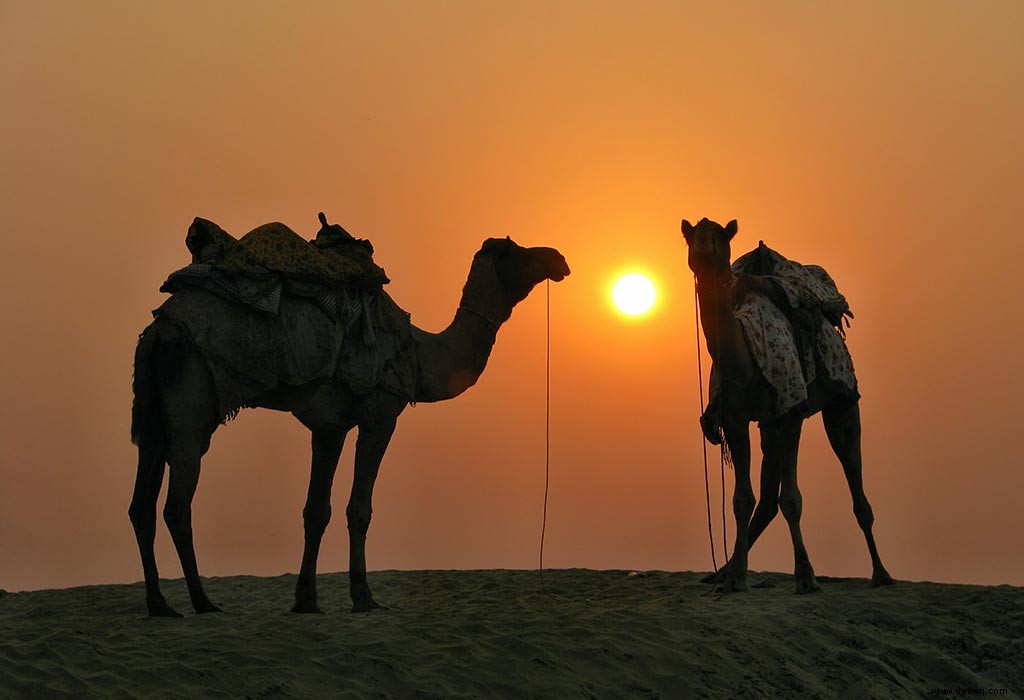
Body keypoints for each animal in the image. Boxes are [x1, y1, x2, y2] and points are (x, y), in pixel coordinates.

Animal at [130, 232, 569, 614]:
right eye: (519, 251)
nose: (559, 258)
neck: (420, 355)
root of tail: (158, 332)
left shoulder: (330, 426)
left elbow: (315, 510)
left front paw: (306, 601)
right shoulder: (380, 415)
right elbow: (359, 508)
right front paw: (364, 598)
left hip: (151, 412)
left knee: (141, 503)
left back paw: (160, 604)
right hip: (191, 407)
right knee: (177, 505)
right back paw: (202, 602)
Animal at [684, 215, 892, 593]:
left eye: (722, 237)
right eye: (691, 236)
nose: (705, 250)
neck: (746, 360)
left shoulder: (790, 411)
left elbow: (791, 500)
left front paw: (806, 577)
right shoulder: (737, 418)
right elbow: (742, 500)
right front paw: (734, 579)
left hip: (842, 401)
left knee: (855, 480)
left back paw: (881, 573)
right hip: (769, 424)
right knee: (766, 500)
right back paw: (723, 570)